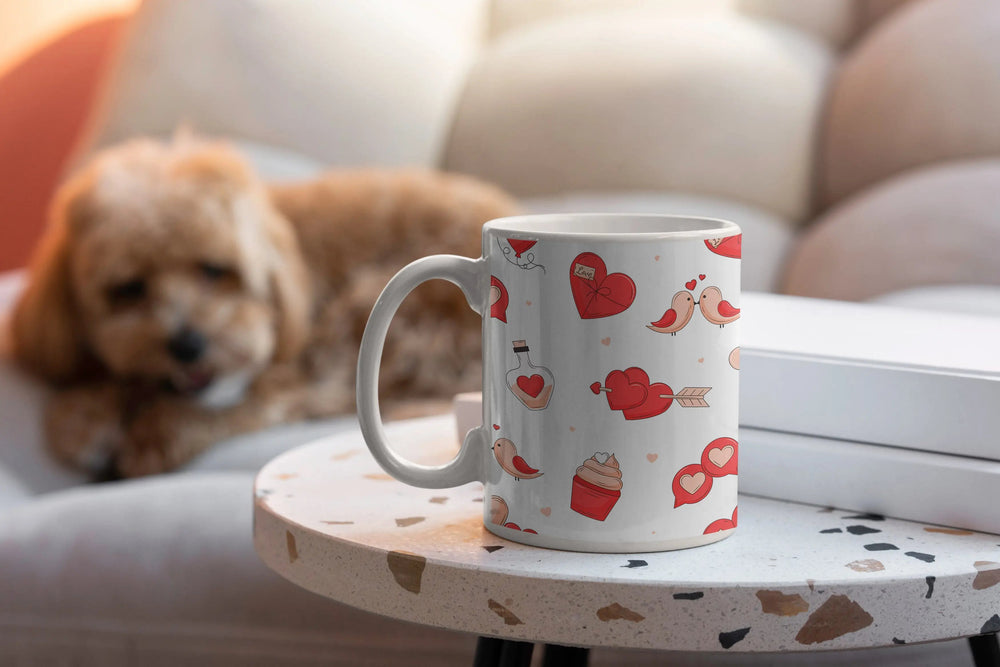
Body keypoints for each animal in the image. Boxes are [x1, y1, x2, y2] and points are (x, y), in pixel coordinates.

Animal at [9, 138, 516, 478]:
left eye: (214, 270)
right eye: (129, 288)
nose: (187, 344)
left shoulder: (286, 370)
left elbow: (236, 405)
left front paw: (152, 435)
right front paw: (83, 415)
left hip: (373, 305)